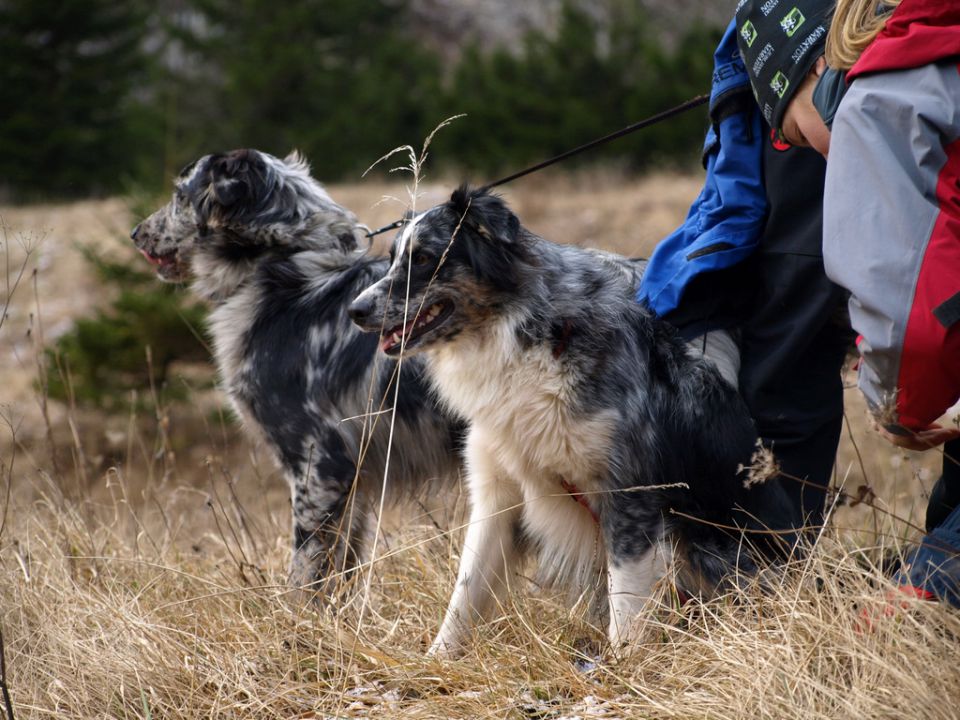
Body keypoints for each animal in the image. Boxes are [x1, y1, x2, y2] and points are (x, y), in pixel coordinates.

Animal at [132, 150, 464, 596]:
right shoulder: (352, 483)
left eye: (178, 195)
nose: (135, 233)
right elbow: (339, 573)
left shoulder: (319, 464)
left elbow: (303, 578)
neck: (289, 273)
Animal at [348, 187, 800, 660]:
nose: (354, 310)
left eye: (424, 258)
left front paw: (621, 666)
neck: (530, 338)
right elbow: (466, 591)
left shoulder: (629, 493)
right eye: (393, 257)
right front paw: (437, 659)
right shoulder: (497, 491)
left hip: (712, 547)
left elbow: (626, 601)